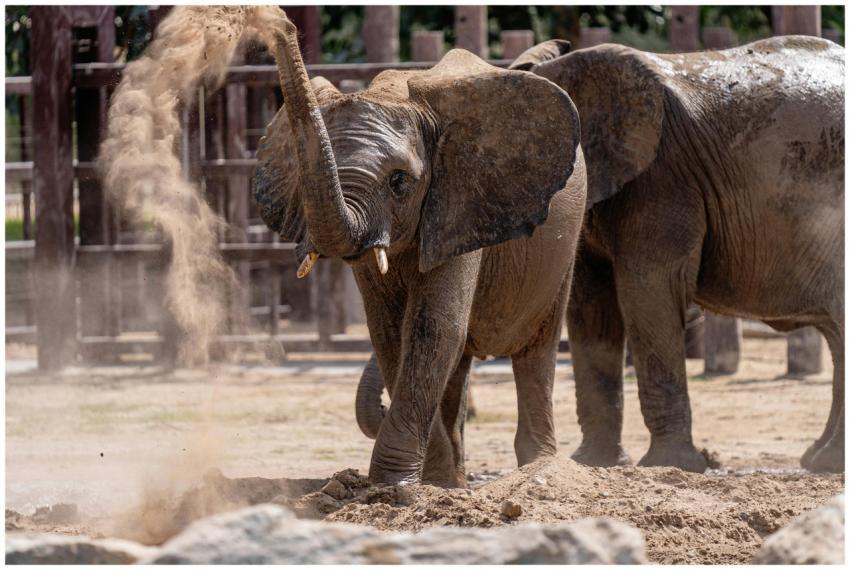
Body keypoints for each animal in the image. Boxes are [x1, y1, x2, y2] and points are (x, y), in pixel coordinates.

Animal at [253, 16, 587, 486]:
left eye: (399, 182)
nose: (280, 24)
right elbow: (390, 332)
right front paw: (431, 485)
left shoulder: (459, 201)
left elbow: (433, 327)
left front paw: (396, 487)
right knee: (460, 365)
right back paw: (458, 480)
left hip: (564, 244)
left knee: (535, 349)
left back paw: (538, 467)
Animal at [511, 36, 844, 473]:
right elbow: (591, 306)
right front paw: (596, 465)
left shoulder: (663, 178)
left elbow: (648, 293)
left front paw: (670, 466)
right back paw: (819, 460)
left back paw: (828, 462)